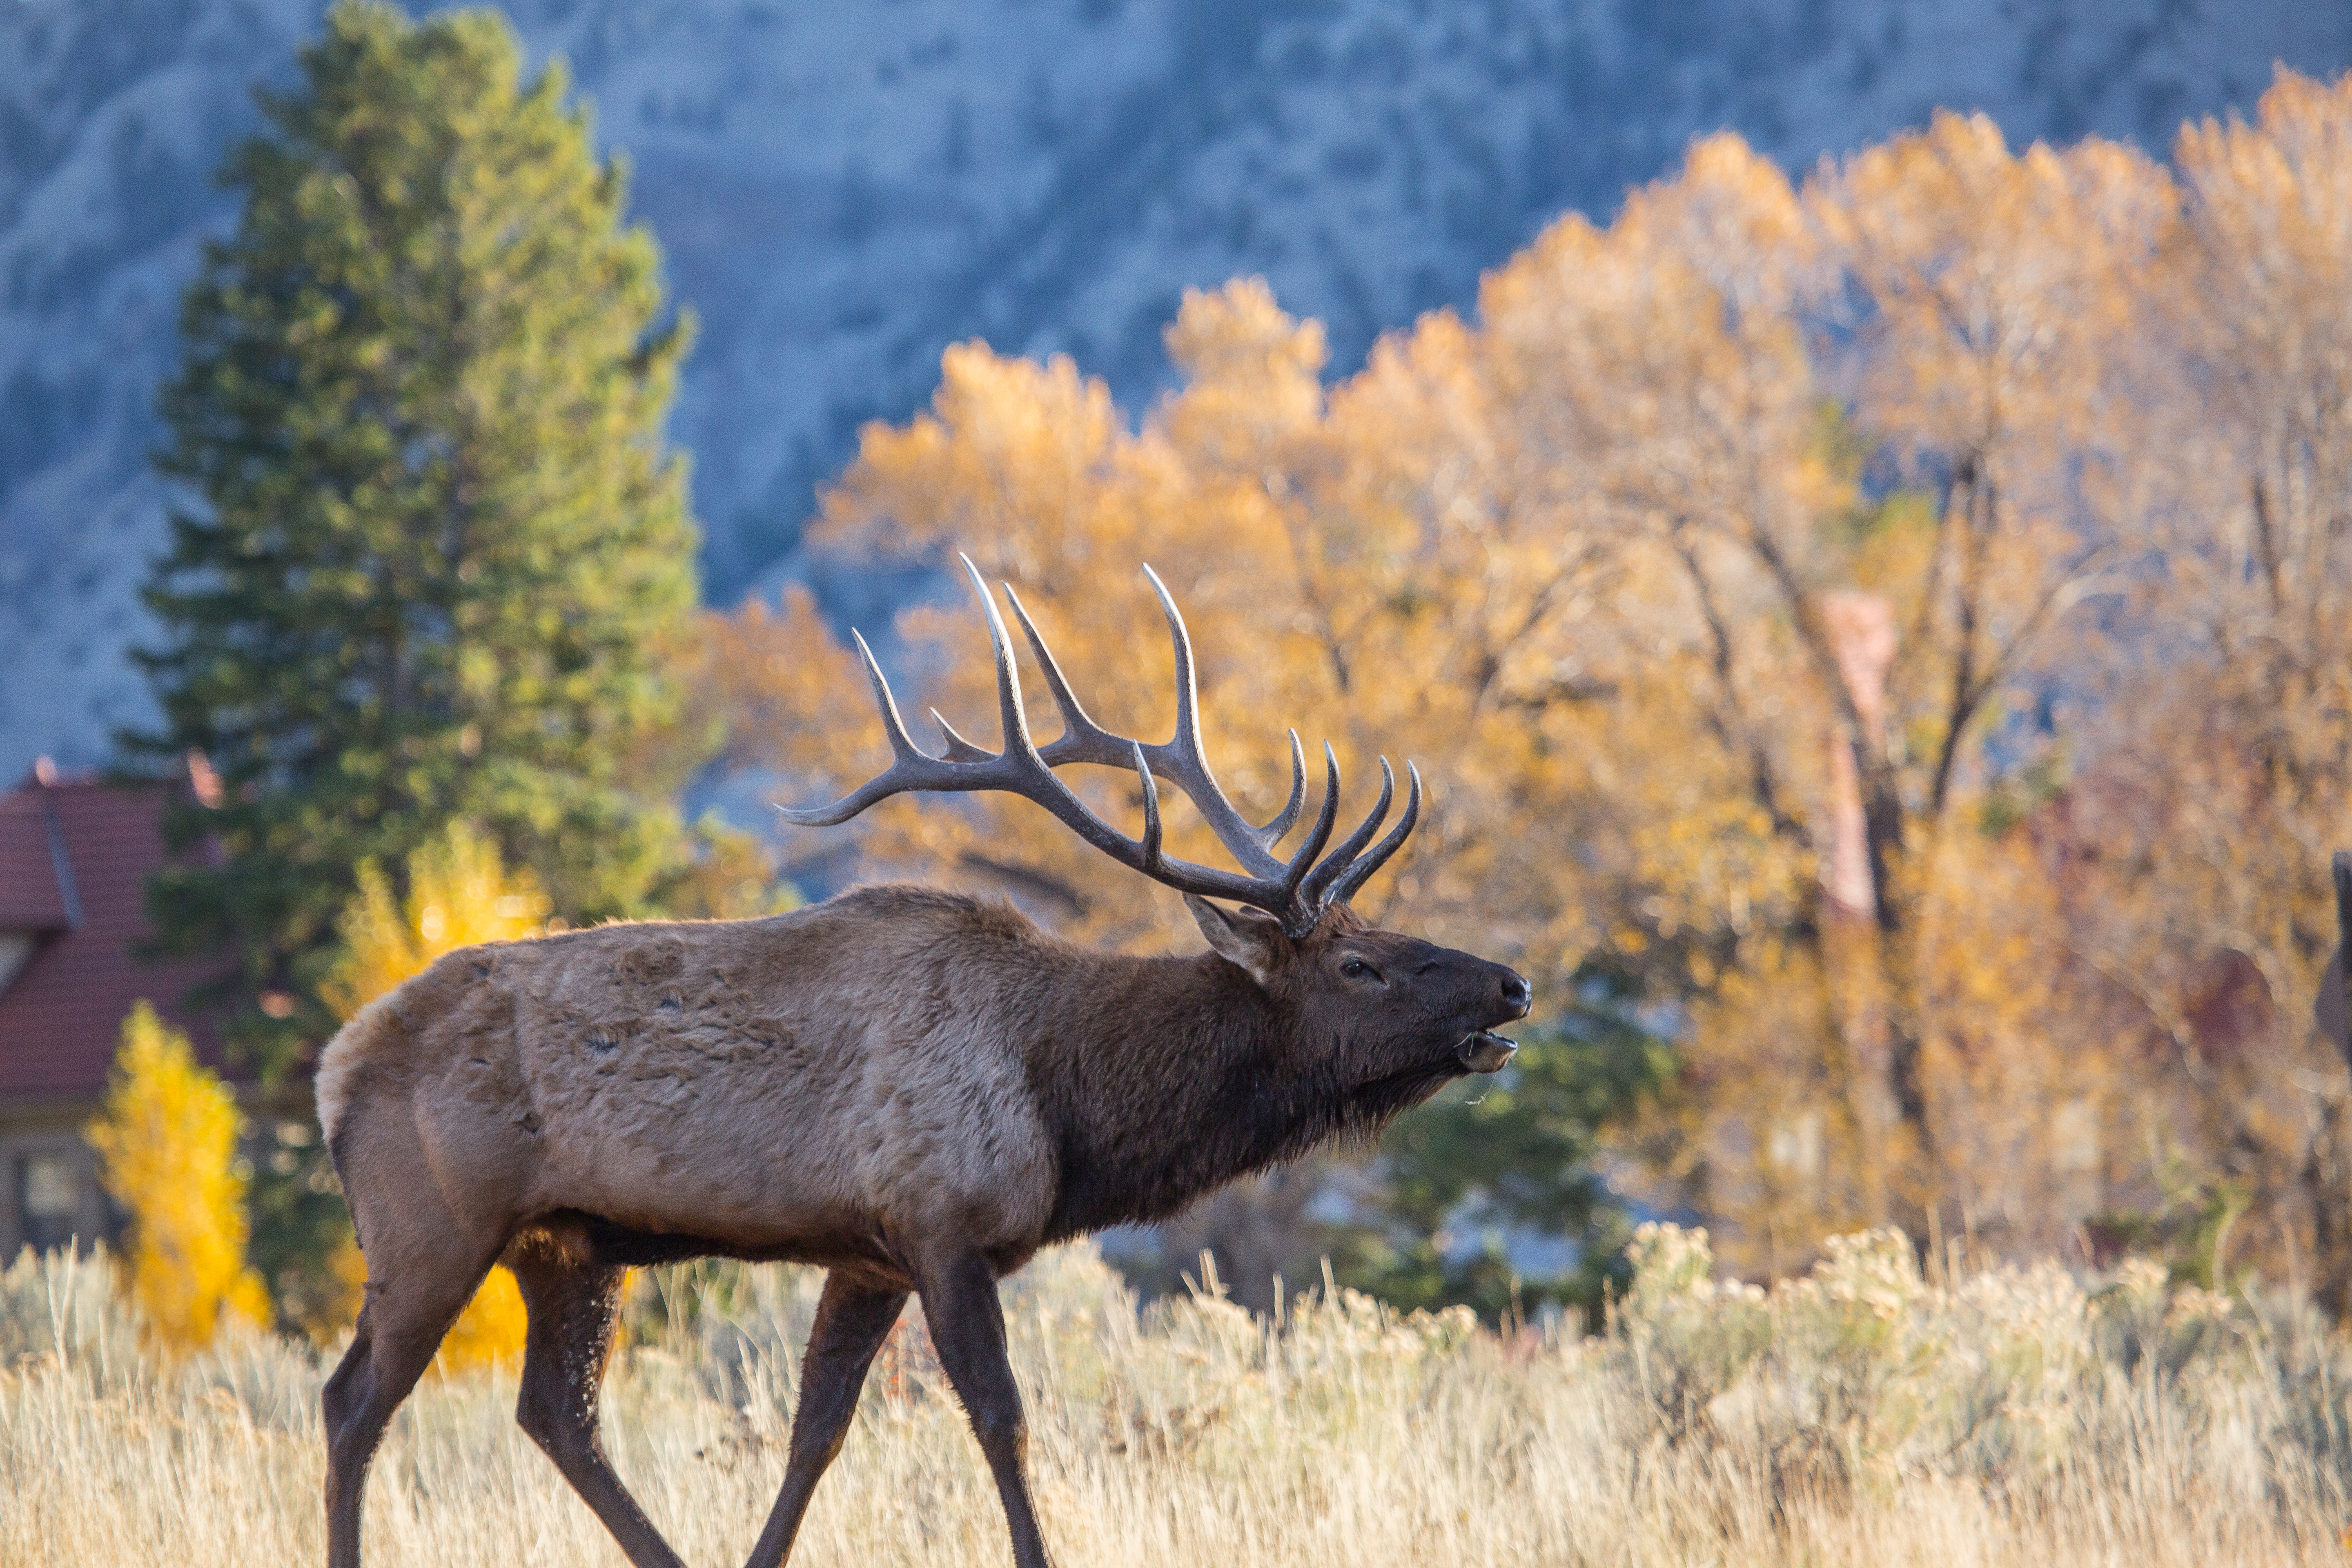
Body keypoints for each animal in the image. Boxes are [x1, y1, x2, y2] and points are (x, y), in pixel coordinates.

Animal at [317, 561, 1524, 1568]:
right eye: (1362, 964)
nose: (1510, 984)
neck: (1070, 1103)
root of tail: (335, 1063)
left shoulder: (870, 1255)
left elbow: (816, 1430)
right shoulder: (944, 1225)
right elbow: (1001, 1419)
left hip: (566, 1242)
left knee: (556, 1414)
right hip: (432, 1224)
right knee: (353, 1403)